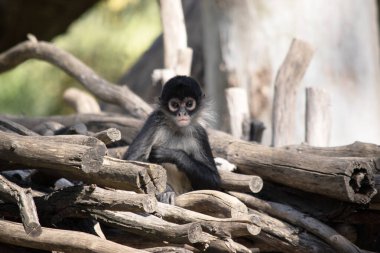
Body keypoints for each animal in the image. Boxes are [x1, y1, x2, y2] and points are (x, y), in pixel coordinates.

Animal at [124, 74, 220, 202]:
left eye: (189, 104)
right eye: (175, 105)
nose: (182, 113)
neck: (177, 130)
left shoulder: (200, 133)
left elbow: (214, 182)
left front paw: (171, 154)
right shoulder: (155, 119)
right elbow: (132, 160)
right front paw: (166, 190)